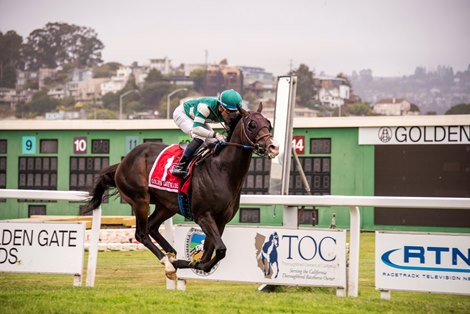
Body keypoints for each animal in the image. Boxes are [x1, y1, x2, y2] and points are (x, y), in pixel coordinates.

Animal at [83, 104, 280, 278]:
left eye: (268, 123)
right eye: (251, 124)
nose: (273, 147)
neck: (222, 170)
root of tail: (121, 164)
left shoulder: (221, 220)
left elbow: (210, 254)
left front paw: (193, 263)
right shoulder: (203, 216)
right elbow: (220, 250)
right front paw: (186, 263)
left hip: (166, 205)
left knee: (152, 226)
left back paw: (172, 254)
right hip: (140, 200)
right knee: (141, 233)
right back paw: (168, 262)